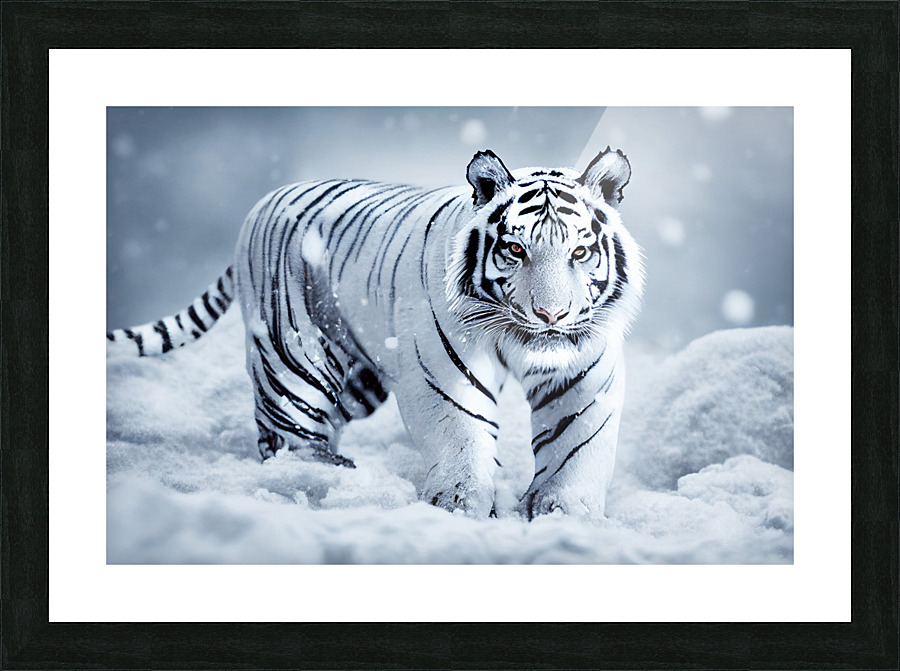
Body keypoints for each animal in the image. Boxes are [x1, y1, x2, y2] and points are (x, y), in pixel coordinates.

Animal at [107, 147, 644, 520]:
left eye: (579, 252)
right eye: (515, 249)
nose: (551, 314)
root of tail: (263, 201)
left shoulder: (584, 371)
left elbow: (575, 441)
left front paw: (562, 512)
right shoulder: (445, 369)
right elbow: (462, 433)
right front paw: (460, 505)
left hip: (359, 377)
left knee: (324, 419)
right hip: (295, 354)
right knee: (286, 429)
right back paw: (316, 479)